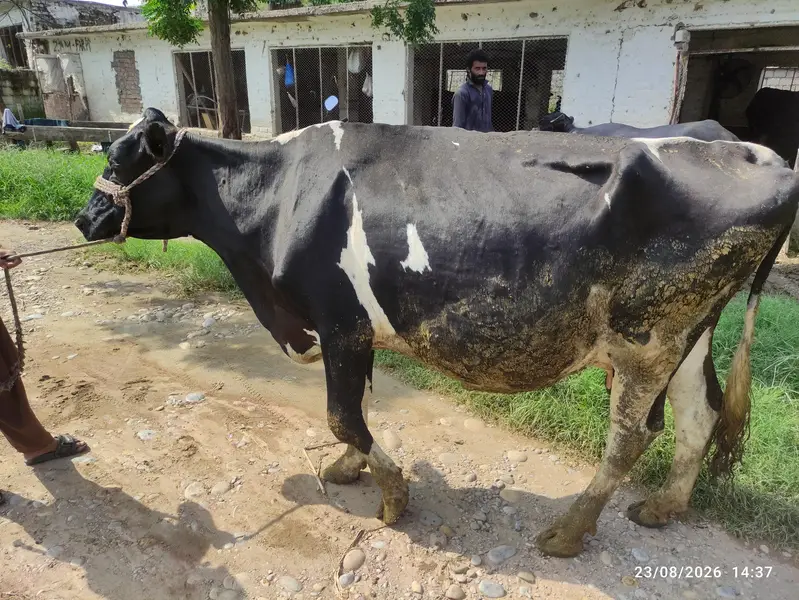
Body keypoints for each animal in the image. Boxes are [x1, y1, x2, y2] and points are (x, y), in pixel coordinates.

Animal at [74, 108, 799, 558]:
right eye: (107, 148)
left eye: (129, 158)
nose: (86, 217)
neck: (276, 201)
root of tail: (754, 152)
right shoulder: (354, 332)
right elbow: (359, 409)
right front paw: (349, 469)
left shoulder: (338, 321)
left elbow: (342, 414)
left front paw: (392, 495)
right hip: (690, 332)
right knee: (699, 414)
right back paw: (664, 506)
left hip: (646, 335)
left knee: (630, 436)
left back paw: (566, 533)